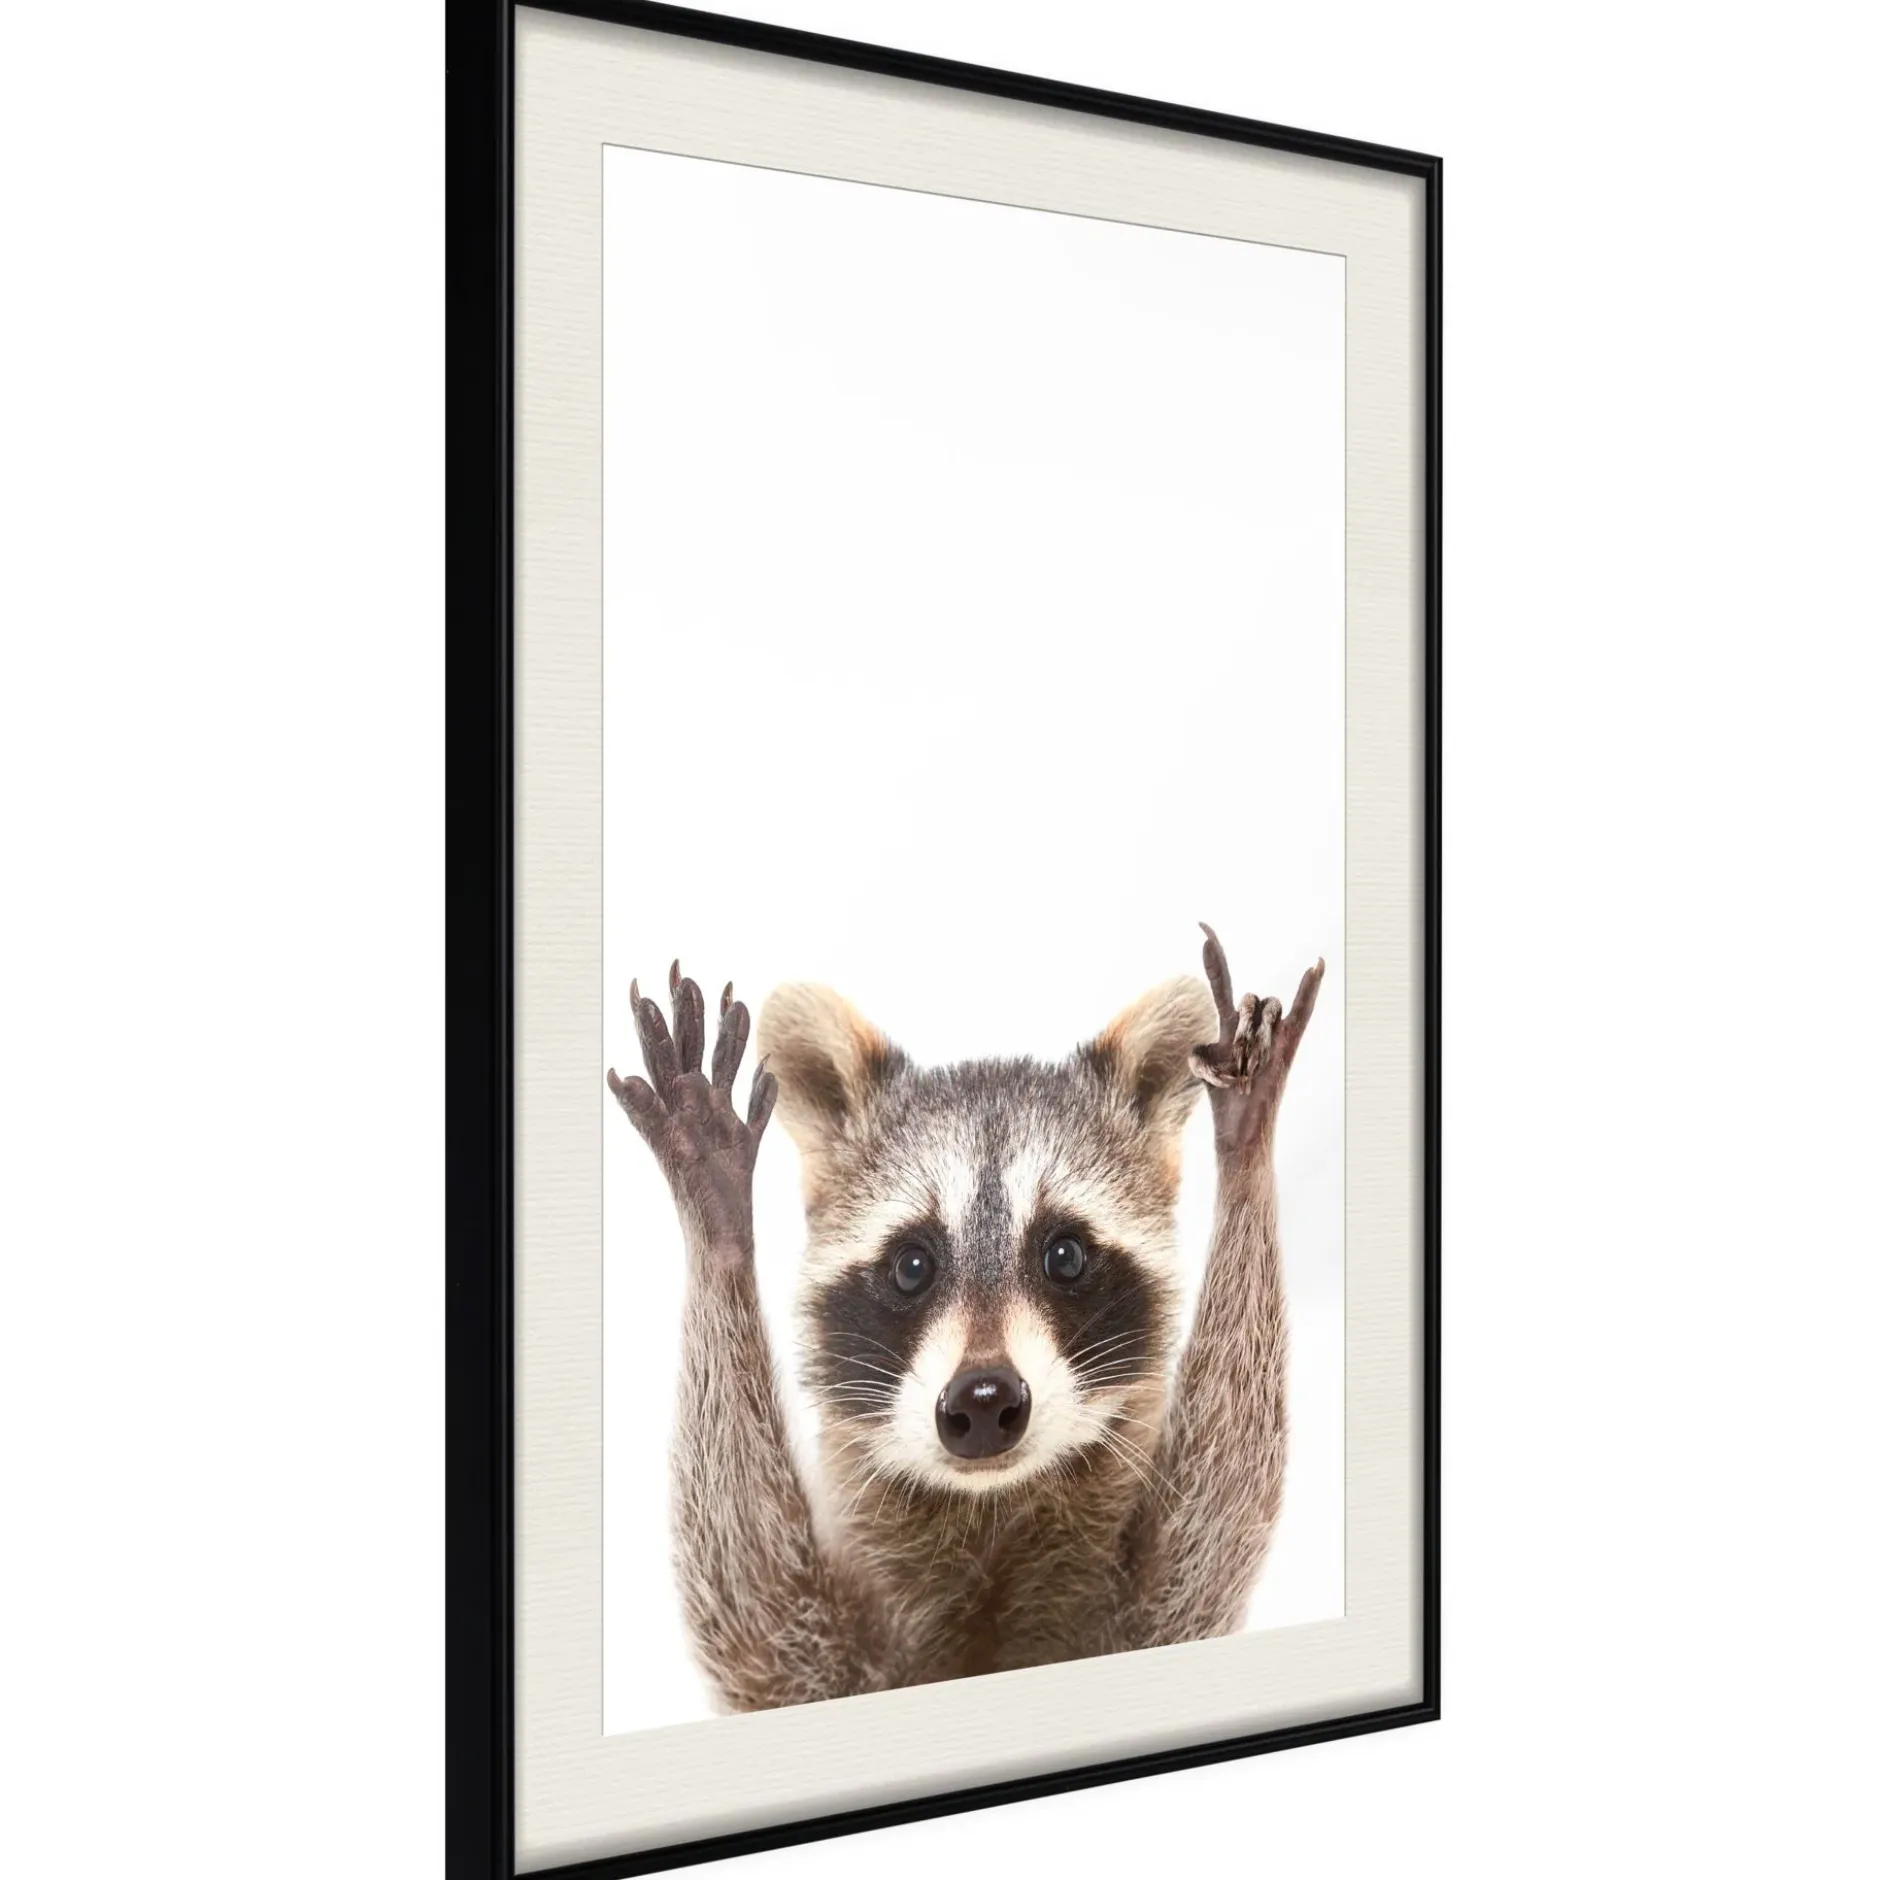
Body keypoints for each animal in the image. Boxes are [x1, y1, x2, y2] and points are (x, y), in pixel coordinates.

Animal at [606, 924, 1322, 1712]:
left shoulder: (1144, 1620)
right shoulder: (815, 1662)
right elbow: (753, 1613)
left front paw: (1247, 1145)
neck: (988, 1511)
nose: (983, 1399)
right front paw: (717, 1219)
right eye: (912, 1266)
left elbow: (1212, 1526)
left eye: (1064, 1255)